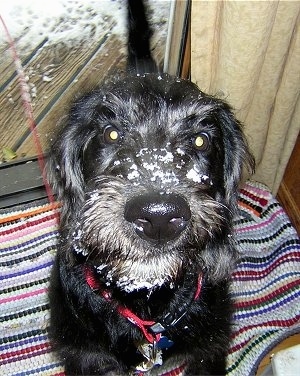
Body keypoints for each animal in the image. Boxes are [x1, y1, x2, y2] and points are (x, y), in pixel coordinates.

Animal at [48, 1, 254, 374]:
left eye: (201, 140)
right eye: (111, 133)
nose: (158, 218)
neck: (147, 303)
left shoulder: (210, 349)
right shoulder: (85, 356)